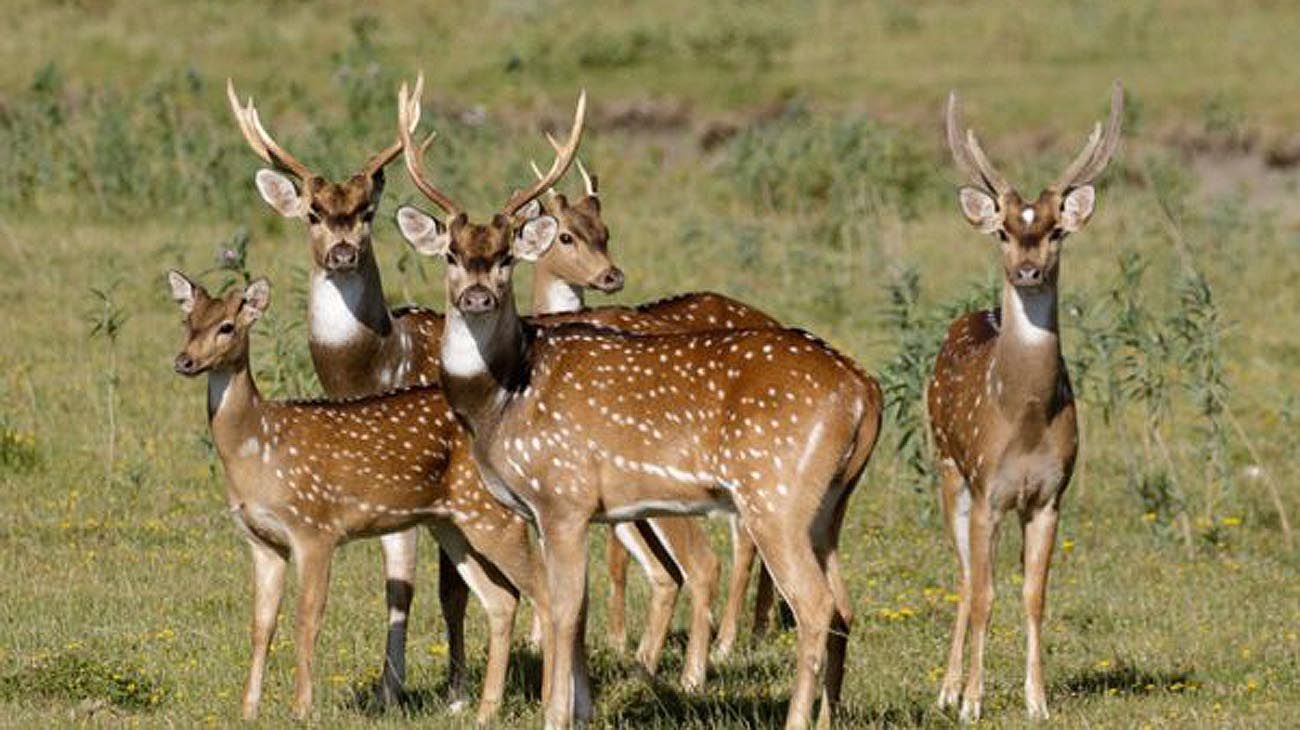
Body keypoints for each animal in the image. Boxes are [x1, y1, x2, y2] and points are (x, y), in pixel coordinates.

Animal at [166, 270, 551, 724]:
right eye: (188, 322)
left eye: (226, 326)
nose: (184, 361)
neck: (257, 446)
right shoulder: (261, 541)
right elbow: (261, 624)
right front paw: (248, 710)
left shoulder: (314, 528)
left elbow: (307, 619)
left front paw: (301, 709)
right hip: (453, 523)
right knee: (502, 600)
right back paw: (485, 711)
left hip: (493, 514)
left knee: (545, 593)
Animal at [392, 77, 883, 729]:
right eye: (450, 253)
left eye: (506, 257)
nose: (476, 296)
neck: (502, 398)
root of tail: (865, 389)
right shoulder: (555, 510)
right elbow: (575, 611)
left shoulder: (564, 495)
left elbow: (563, 609)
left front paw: (555, 714)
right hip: (830, 504)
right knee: (845, 607)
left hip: (775, 491)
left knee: (815, 604)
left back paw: (795, 716)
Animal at [929, 82, 1122, 722]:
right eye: (1004, 232)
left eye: (1057, 231)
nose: (1029, 270)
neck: (1026, 420)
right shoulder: (989, 490)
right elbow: (986, 594)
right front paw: (972, 702)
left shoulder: (1049, 497)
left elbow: (1034, 595)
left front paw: (1037, 702)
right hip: (948, 469)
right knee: (965, 577)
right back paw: (946, 690)